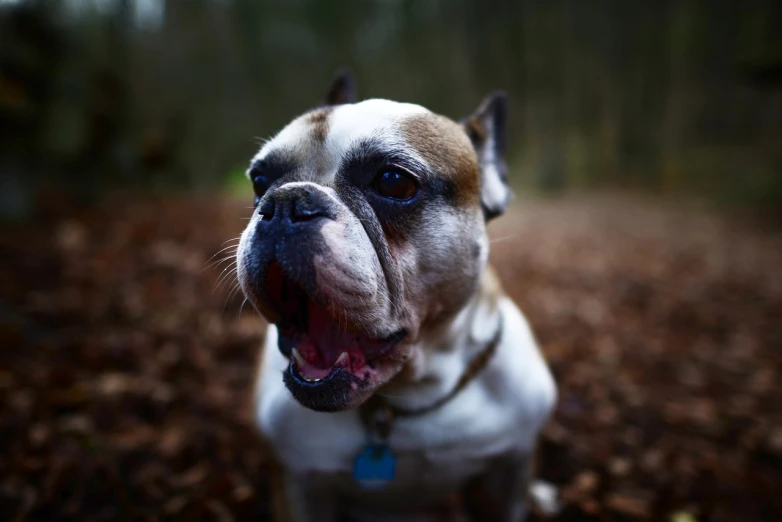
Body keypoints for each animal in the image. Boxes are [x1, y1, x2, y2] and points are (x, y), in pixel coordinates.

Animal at [237, 70, 556, 520]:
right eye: (259, 181)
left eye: (394, 181)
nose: (284, 201)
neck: (407, 395)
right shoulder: (296, 484)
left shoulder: (508, 471)